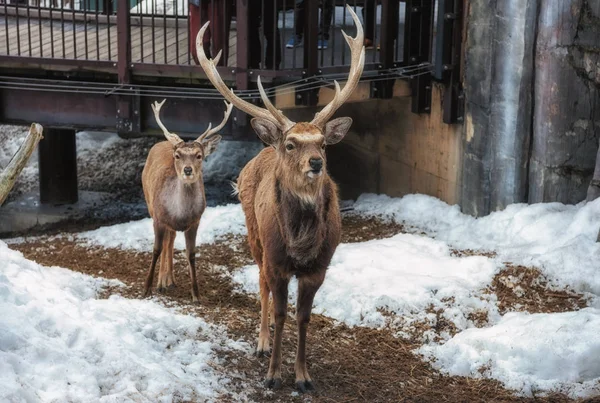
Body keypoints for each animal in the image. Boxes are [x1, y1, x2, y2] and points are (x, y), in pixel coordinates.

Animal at [142, 98, 233, 304]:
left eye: (199, 156)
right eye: (178, 156)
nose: (188, 170)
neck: (180, 214)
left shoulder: (195, 221)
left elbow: (191, 254)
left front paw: (196, 294)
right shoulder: (158, 217)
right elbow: (156, 249)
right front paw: (146, 289)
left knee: (171, 240)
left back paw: (169, 280)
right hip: (149, 202)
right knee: (166, 242)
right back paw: (161, 282)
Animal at [197, 4, 366, 392]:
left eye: (322, 143)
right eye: (291, 144)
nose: (316, 163)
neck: (300, 244)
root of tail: (262, 148)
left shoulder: (319, 267)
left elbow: (303, 317)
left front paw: (303, 376)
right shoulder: (276, 260)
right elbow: (279, 309)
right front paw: (273, 374)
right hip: (253, 233)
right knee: (260, 284)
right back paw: (261, 341)